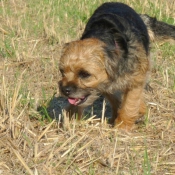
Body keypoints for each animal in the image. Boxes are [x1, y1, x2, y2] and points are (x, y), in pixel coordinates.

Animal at [58, 1, 175, 130]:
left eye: (85, 74)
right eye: (62, 72)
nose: (65, 90)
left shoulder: (136, 79)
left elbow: (130, 102)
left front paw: (122, 126)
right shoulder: (105, 85)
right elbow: (115, 98)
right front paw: (70, 116)